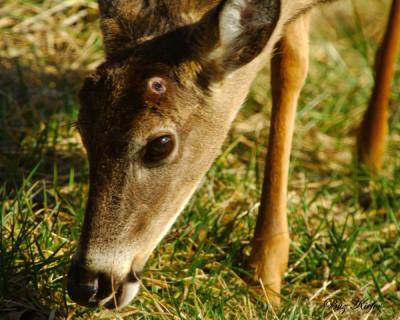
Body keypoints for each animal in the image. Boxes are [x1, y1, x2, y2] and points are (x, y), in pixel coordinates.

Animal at [66, 0, 400, 310]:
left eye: (160, 143)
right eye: (83, 129)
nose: (87, 285)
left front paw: (266, 276)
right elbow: (289, 65)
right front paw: (267, 272)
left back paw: (370, 150)